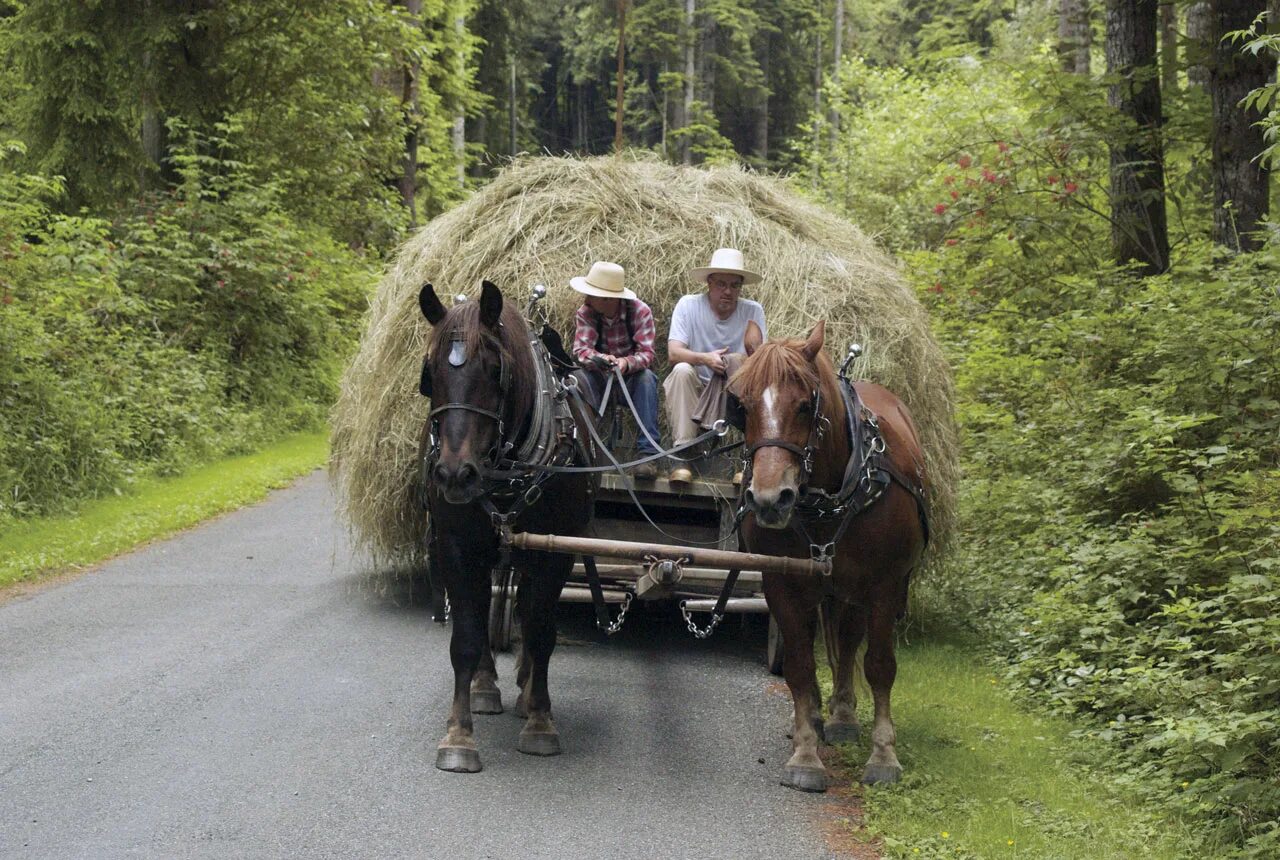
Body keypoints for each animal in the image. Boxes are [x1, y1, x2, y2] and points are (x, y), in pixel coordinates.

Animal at [419, 280, 599, 772]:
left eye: (495, 369)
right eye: (429, 372)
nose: (454, 475)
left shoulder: (552, 552)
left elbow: (539, 632)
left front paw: (539, 721)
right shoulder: (457, 549)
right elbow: (465, 635)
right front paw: (459, 736)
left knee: (528, 612)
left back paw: (526, 690)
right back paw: (485, 686)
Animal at [732, 322, 931, 793]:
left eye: (806, 405)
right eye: (741, 406)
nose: (770, 500)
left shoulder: (884, 585)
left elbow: (879, 665)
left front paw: (884, 755)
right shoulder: (781, 585)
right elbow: (801, 667)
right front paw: (806, 754)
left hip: (853, 589)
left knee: (850, 636)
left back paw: (842, 715)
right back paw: (819, 715)